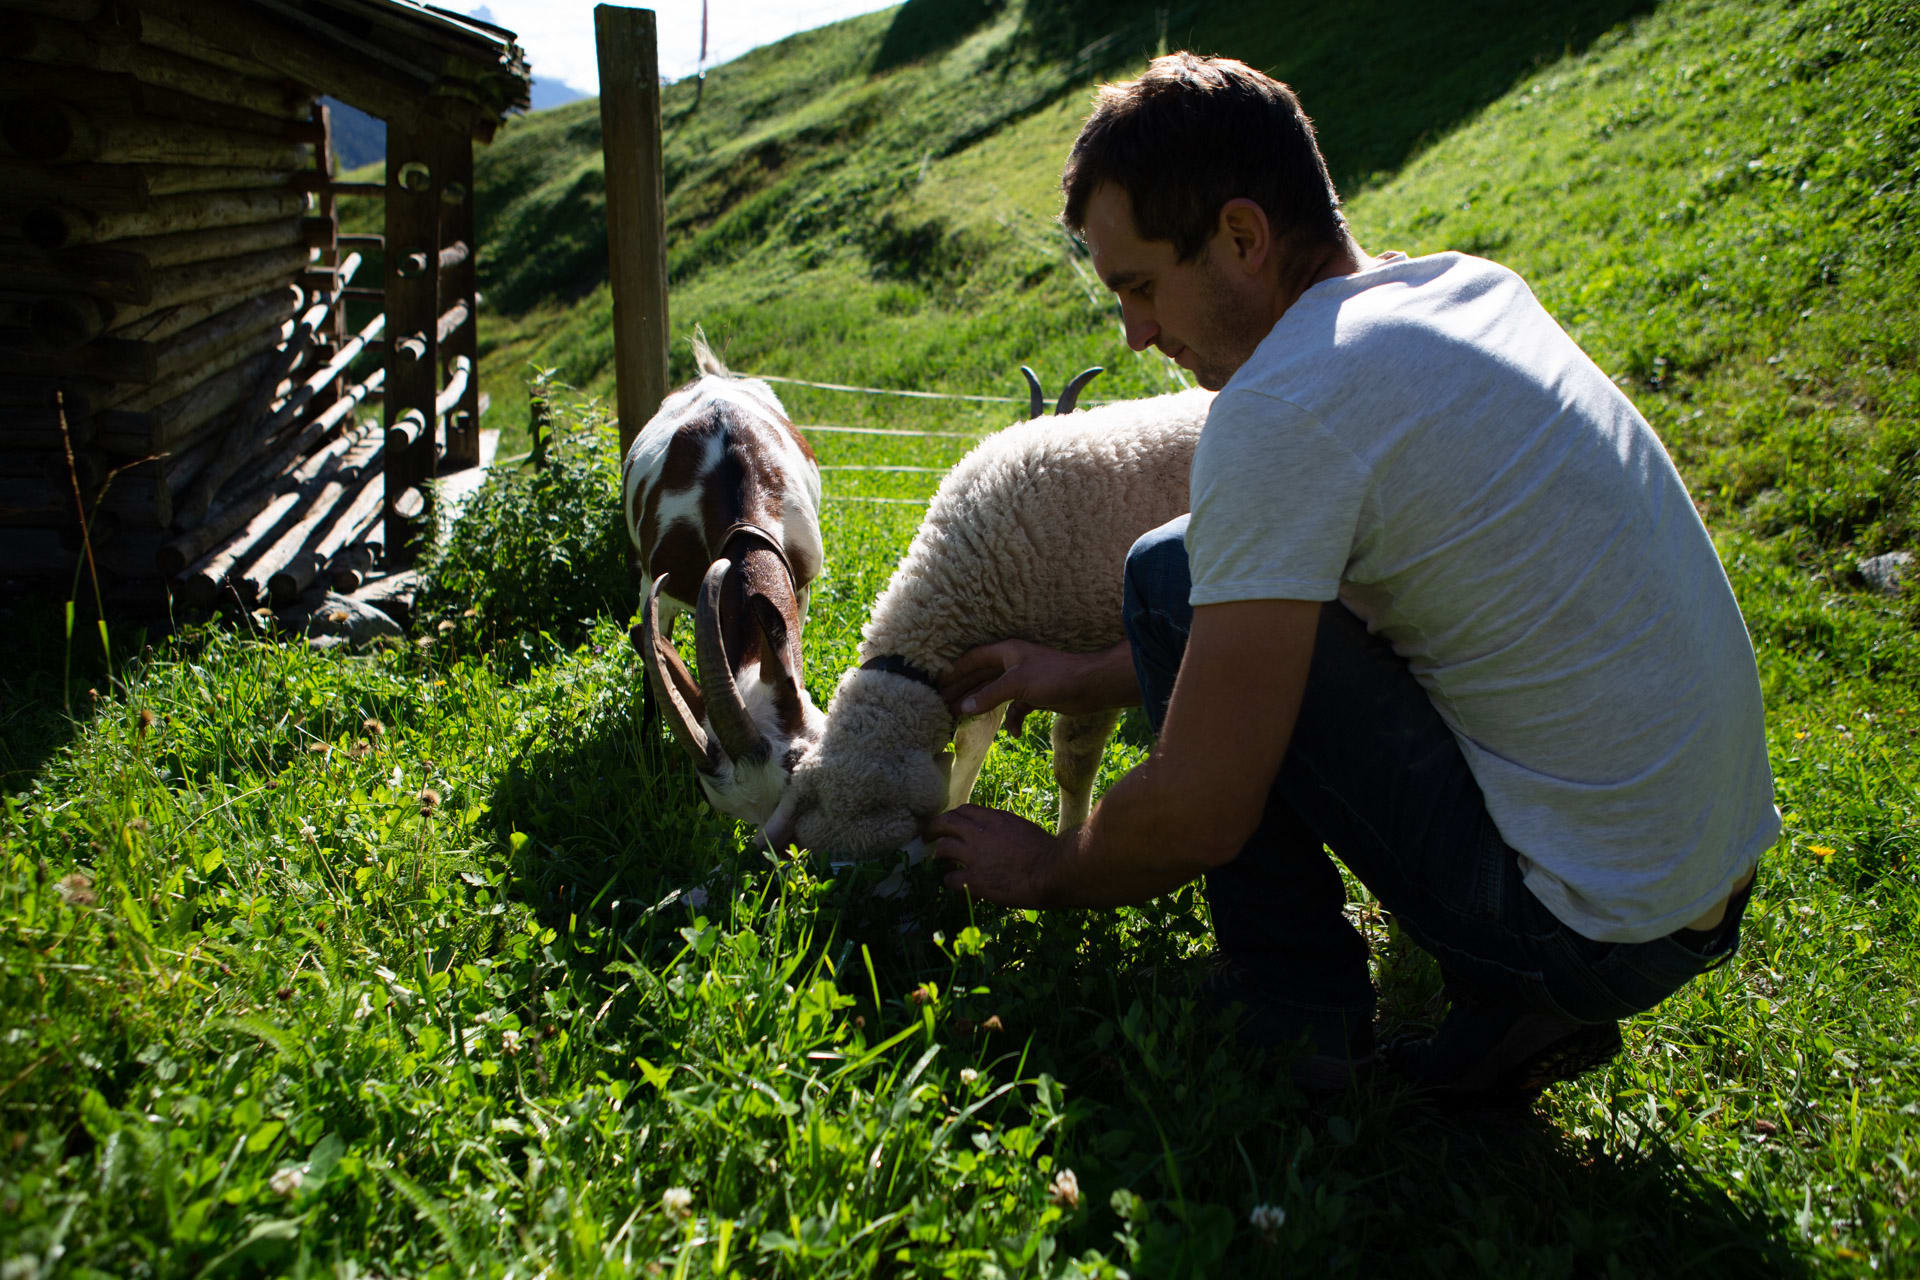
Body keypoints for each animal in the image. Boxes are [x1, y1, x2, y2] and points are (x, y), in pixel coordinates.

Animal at [760, 386, 1215, 856]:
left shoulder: (1091, 655)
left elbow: (1073, 764)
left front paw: (1067, 838)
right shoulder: (989, 660)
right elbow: (972, 740)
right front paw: (956, 807)